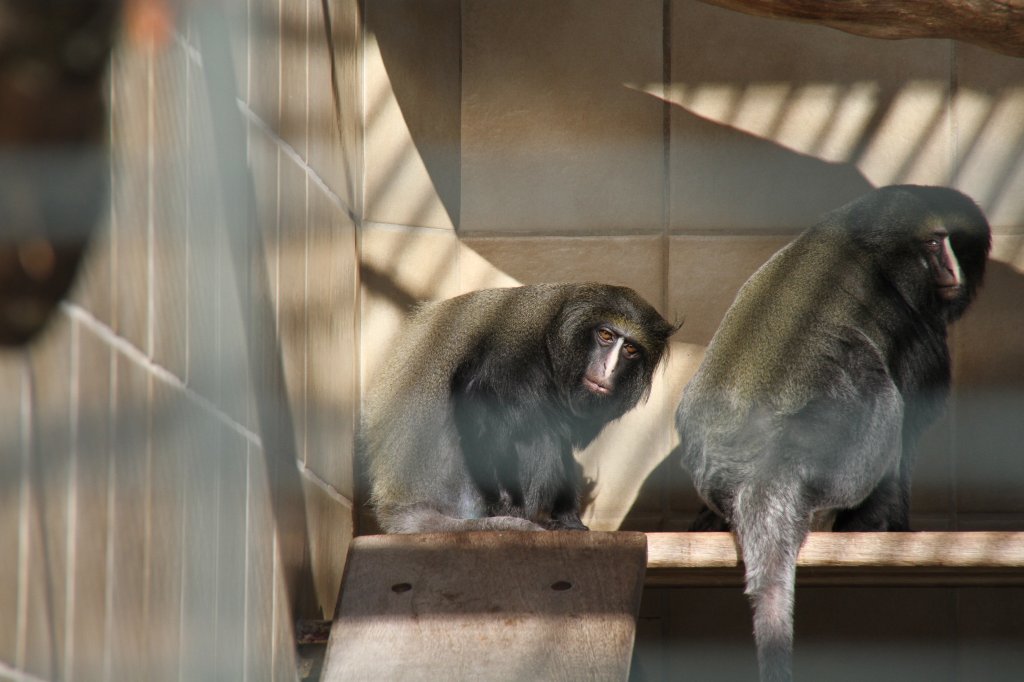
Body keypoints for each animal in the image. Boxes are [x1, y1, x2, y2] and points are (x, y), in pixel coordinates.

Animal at [362, 280, 679, 532]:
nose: (608, 368)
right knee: (537, 434)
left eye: (630, 349)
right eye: (606, 336)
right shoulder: (512, 352)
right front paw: (513, 510)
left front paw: (570, 519)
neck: (554, 335)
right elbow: (476, 403)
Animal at [675, 186, 987, 679]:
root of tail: (763, 471)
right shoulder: (919, 333)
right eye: (935, 244)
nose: (951, 268)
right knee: (877, 385)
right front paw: (889, 527)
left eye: (952, 242)